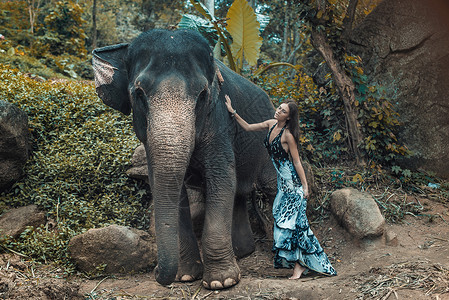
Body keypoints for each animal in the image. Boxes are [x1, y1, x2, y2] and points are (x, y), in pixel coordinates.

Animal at [92, 29, 276, 290]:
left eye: (202, 95)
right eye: (139, 94)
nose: (157, 273)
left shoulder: (219, 121)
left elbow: (221, 178)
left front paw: (221, 282)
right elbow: (170, 187)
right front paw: (185, 276)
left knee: (271, 186)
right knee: (239, 194)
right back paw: (243, 252)